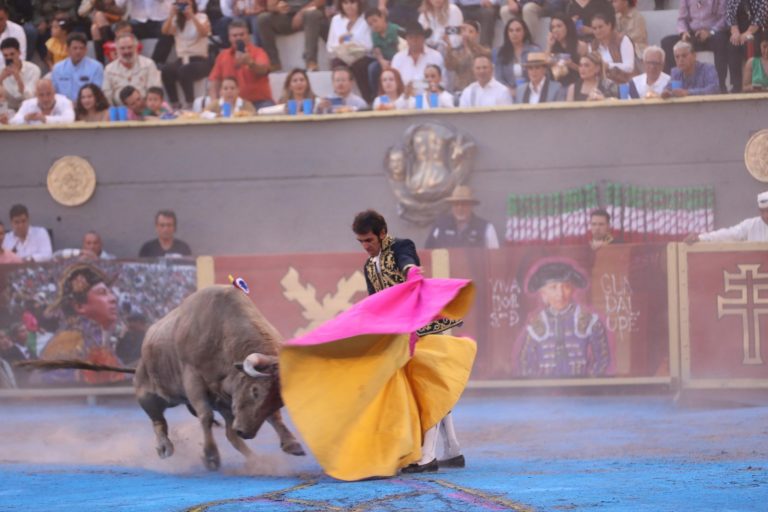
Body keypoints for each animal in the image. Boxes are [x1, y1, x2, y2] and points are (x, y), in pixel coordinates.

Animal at [19, 286, 304, 470]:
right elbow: (204, 417)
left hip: (222, 404)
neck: (223, 334)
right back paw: (166, 448)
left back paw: (256, 460)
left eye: (278, 400)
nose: (246, 431)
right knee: (159, 421)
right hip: (149, 395)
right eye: (255, 391)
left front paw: (292, 444)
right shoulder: (193, 380)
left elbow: (272, 418)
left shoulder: (229, 400)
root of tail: (139, 363)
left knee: (228, 434)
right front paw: (211, 457)